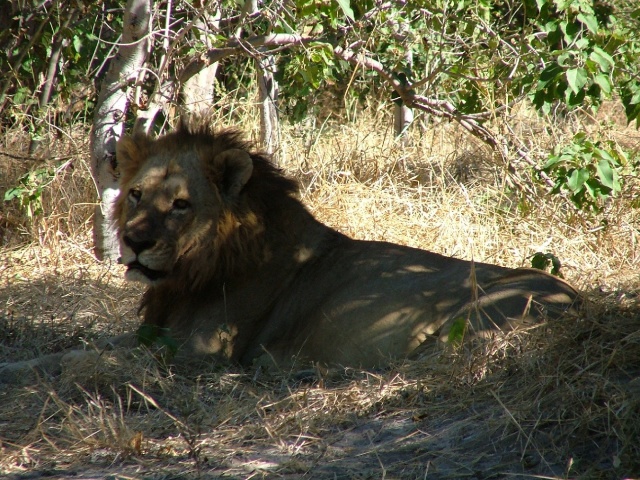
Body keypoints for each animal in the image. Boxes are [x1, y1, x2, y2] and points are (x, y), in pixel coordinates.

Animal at [0, 122, 579, 383]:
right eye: (137, 194)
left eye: (181, 205)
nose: (135, 242)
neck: (194, 270)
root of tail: (580, 302)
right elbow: (84, 347)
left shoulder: (198, 353)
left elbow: (89, 356)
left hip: (475, 316)